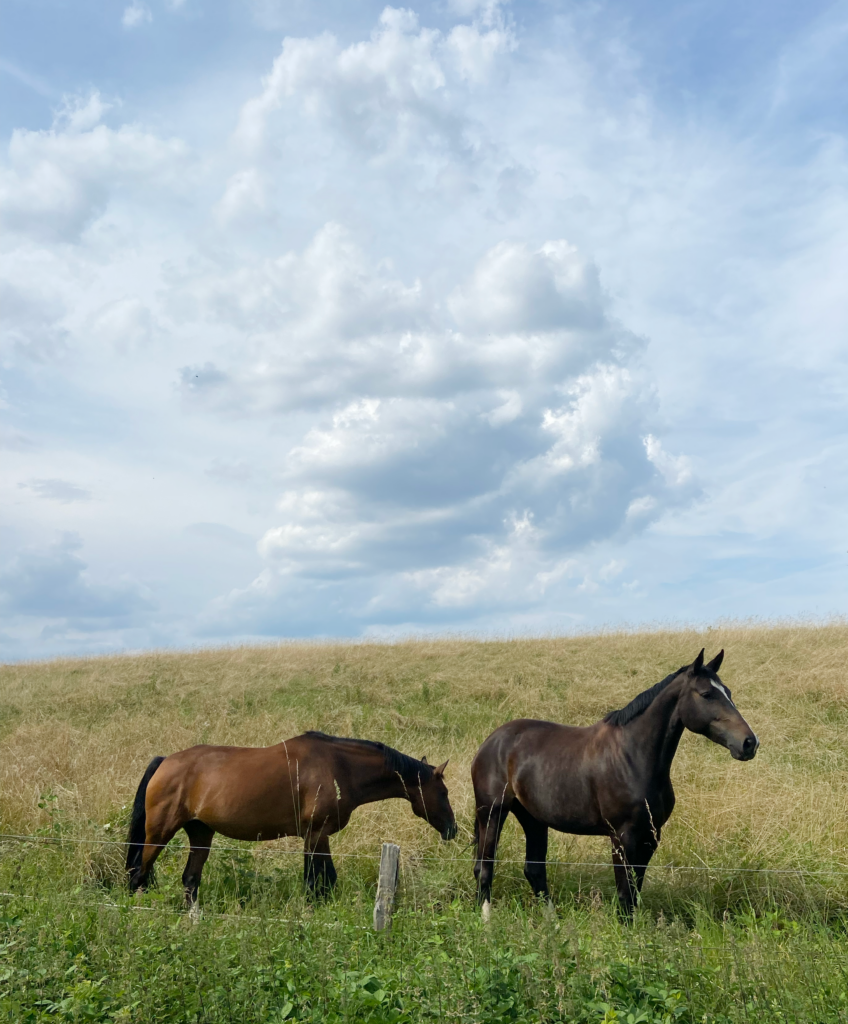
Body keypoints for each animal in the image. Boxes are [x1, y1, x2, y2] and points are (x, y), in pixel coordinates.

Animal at [126, 731, 457, 907]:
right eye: (444, 792)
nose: (452, 829)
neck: (338, 766)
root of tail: (165, 762)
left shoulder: (320, 836)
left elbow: (326, 880)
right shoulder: (315, 834)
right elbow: (315, 880)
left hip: (200, 833)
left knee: (190, 880)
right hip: (159, 834)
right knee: (138, 875)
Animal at [471, 649, 759, 918]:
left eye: (728, 692)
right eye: (707, 694)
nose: (749, 743)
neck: (633, 756)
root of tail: (490, 743)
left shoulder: (650, 836)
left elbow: (635, 892)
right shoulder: (623, 836)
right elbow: (625, 894)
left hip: (533, 819)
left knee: (534, 870)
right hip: (492, 812)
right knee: (485, 866)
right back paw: (486, 920)